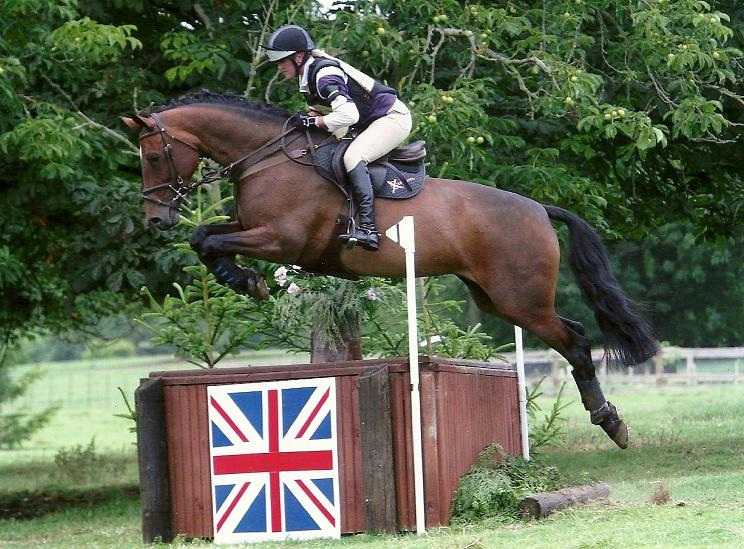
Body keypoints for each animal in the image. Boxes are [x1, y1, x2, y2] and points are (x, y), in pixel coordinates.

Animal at [122, 91, 658, 449]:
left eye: (152, 156)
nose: (155, 219)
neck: (269, 159)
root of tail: (541, 209)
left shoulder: (281, 238)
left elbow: (211, 239)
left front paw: (246, 280)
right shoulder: (255, 228)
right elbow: (204, 236)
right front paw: (241, 279)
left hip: (520, 299)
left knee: (577, 343)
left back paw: (611, 423)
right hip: (496, 297)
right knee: (572, 333)